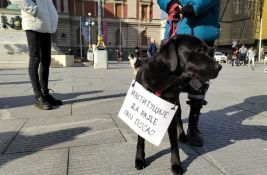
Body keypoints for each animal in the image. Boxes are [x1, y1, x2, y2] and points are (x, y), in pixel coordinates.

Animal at [134, 34, 222, 175]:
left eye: (208, 50)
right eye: (198, 50)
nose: (219, 67)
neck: (164, 81)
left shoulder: (170, 115)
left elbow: (174, 144)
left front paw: (176, 164)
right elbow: (141, 140)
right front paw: (139, 160)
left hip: (177, 107)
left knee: (180, 120)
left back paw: (183, 136)